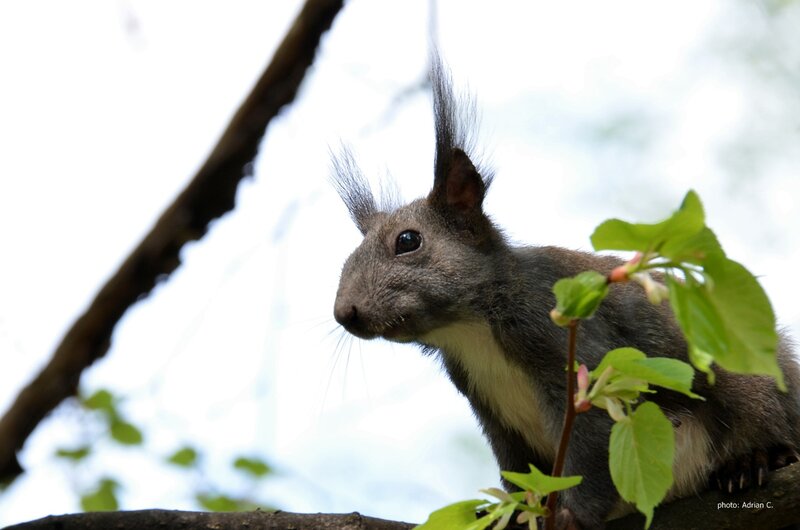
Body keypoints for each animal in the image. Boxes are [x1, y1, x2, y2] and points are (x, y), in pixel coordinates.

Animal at [332, 55, 800, 529]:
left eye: (408, 241)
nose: (344, 313)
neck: (473, 328)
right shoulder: (489, 409)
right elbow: (516, 470)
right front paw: (512, 513)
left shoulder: (569, 346)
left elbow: (594, 445)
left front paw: (570, 515)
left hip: (749, 387)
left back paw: (752, 461)